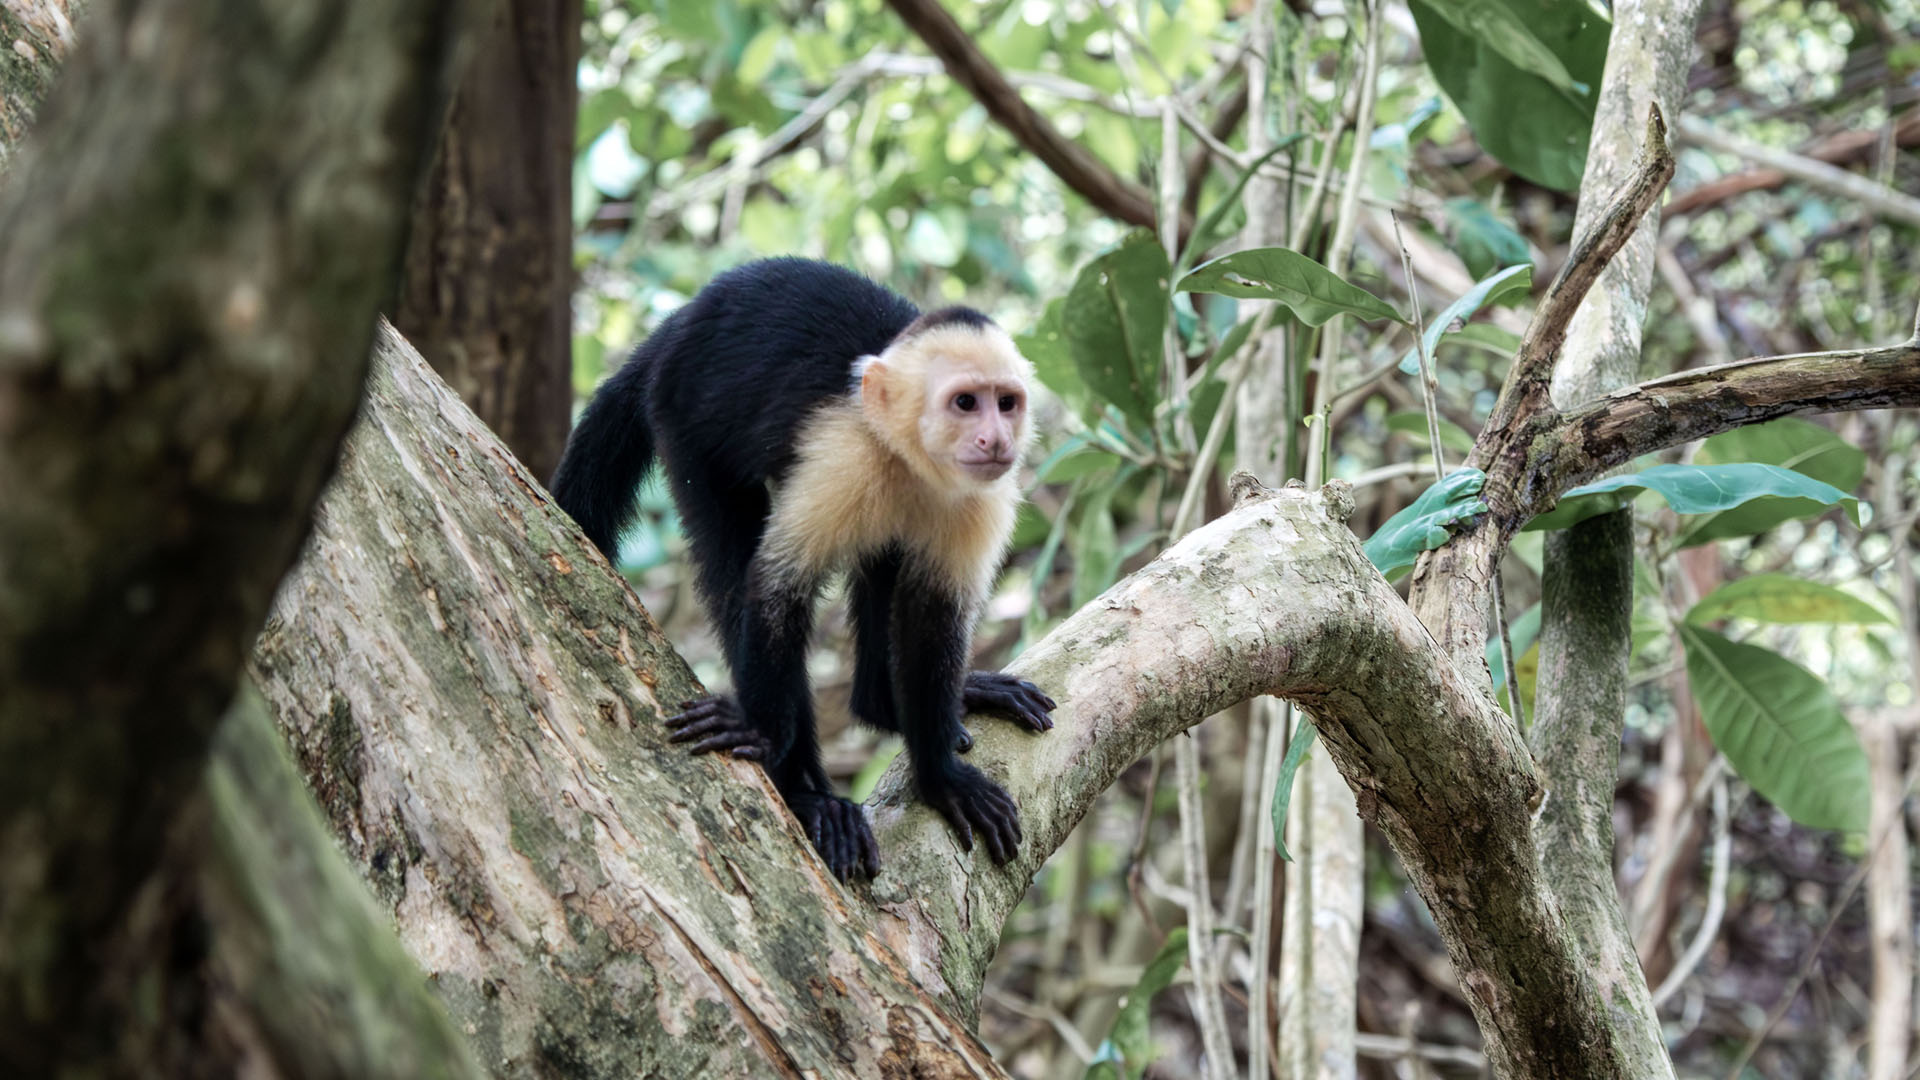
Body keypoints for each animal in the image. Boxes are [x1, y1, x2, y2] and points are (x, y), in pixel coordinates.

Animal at [550, 257, 1056, 881]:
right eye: (965, 403)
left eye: (1006, 402)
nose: (997, 439)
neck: (908, 456)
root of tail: (683, 321)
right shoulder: (845, 457)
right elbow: (776, 584)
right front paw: (768, 737)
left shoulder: (981, 497)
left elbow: (934, 616)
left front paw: (939, 776)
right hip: (683, 416)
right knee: (735, 564)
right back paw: (805, 791)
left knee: (884, 566)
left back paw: (886, 702)